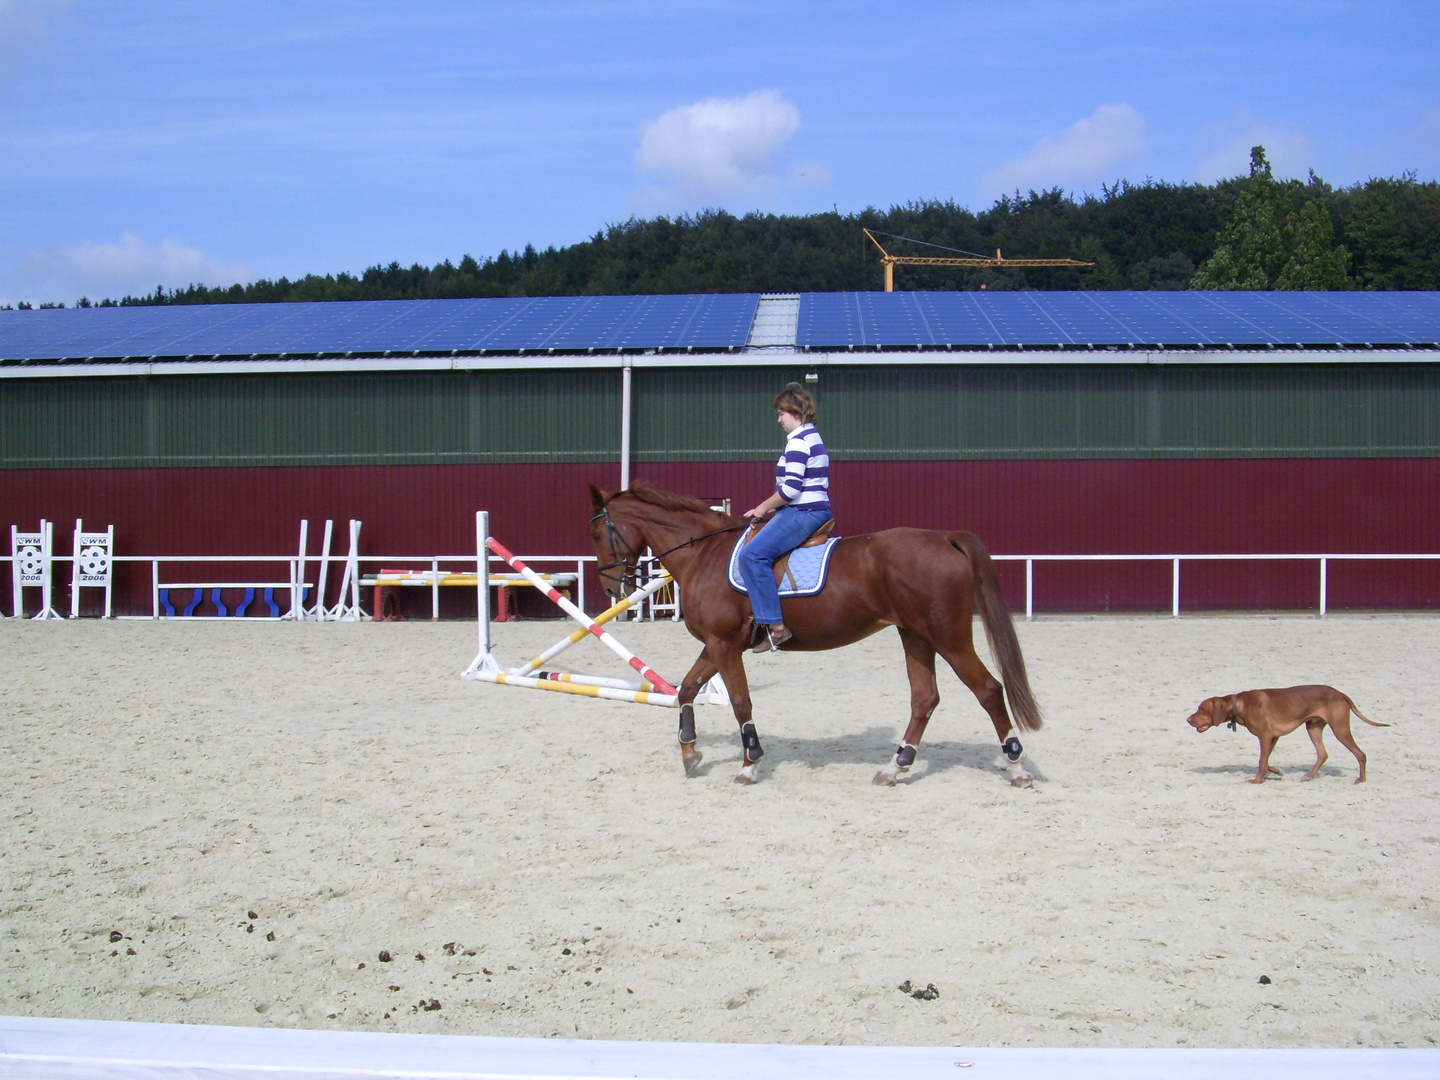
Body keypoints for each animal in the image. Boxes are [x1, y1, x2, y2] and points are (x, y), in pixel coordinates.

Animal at [587, 486, 1048, 789]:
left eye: (596, 534)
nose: (610, 587)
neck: (705, 554)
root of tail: (944, 537)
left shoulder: (723, 645)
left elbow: (739, 702)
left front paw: (749, 763)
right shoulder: (716, 646)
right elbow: (685, 690)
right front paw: (690, 753)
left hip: (948, 637)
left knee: (988, 690)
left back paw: (1016, 766)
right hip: (915, 636)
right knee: (925, 698)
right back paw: (896, 766)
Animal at [1186, 685, 1388, 789]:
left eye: (1202, 709)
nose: (1187, 719)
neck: (1240, 705)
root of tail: (1341, 693)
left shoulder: (1265, 736)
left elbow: (1261, 761)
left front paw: (1257, 780)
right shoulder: (1273, 737)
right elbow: (1266, 760)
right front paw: (1276, 772)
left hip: (1340, 729)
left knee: (1360, 754)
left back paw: (1361, 780)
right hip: (1313, 727)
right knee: (1322, 754)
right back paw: (1309, 776)